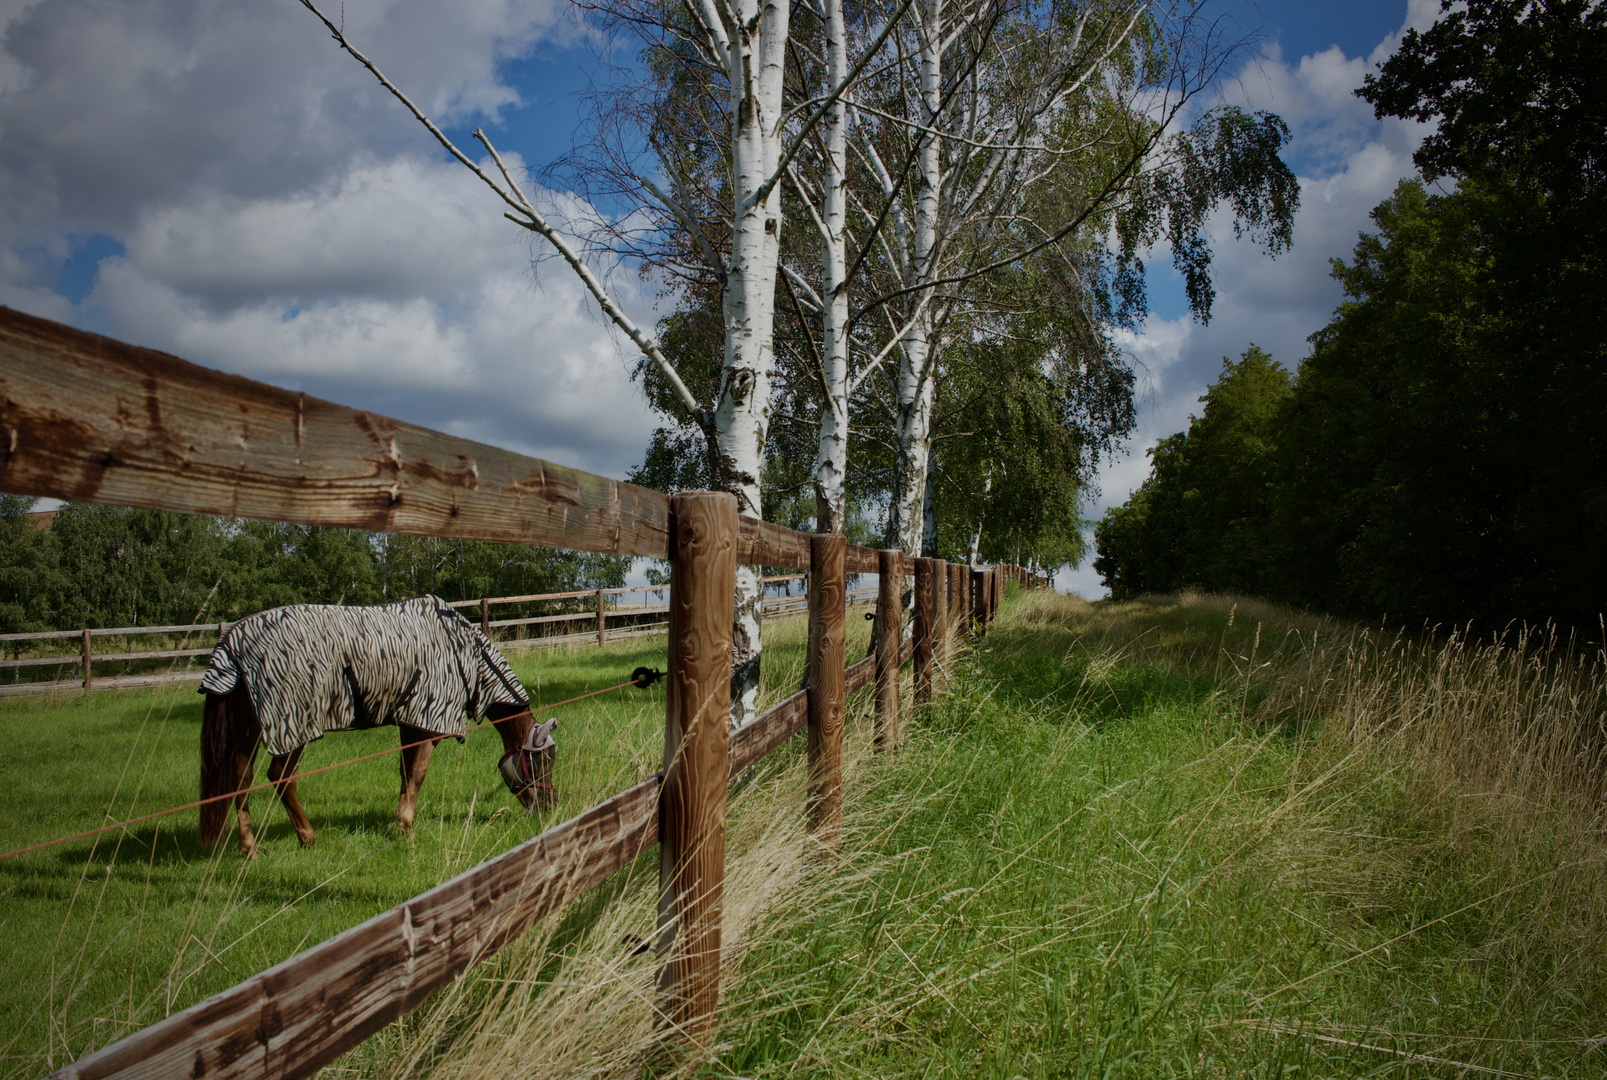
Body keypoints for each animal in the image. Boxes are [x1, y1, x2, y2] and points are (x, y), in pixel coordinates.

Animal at [199, 594, 559, 855]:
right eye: (541, 760)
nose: (549, 807)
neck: (465, 654)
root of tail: (233, 642)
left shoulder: (410, 726)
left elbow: (404, 774)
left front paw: (401, 825)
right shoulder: (428, 726)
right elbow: (417, 775)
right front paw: (408, 831)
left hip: (248, 728)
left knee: (241, 779)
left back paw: (250, 849)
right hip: (294, 727)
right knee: (281, 777)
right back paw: (308, 837)